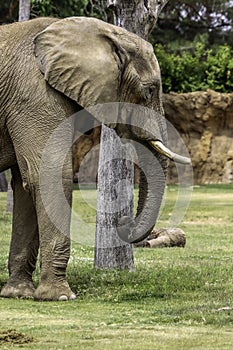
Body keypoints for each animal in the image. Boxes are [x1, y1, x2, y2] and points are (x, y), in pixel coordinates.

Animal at [0, 16, 189, 300]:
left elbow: (25, 185)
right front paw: (60, 297)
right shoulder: (33, 95)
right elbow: (49, 176)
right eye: (149, 90)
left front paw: (18, 293)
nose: (123, 221)